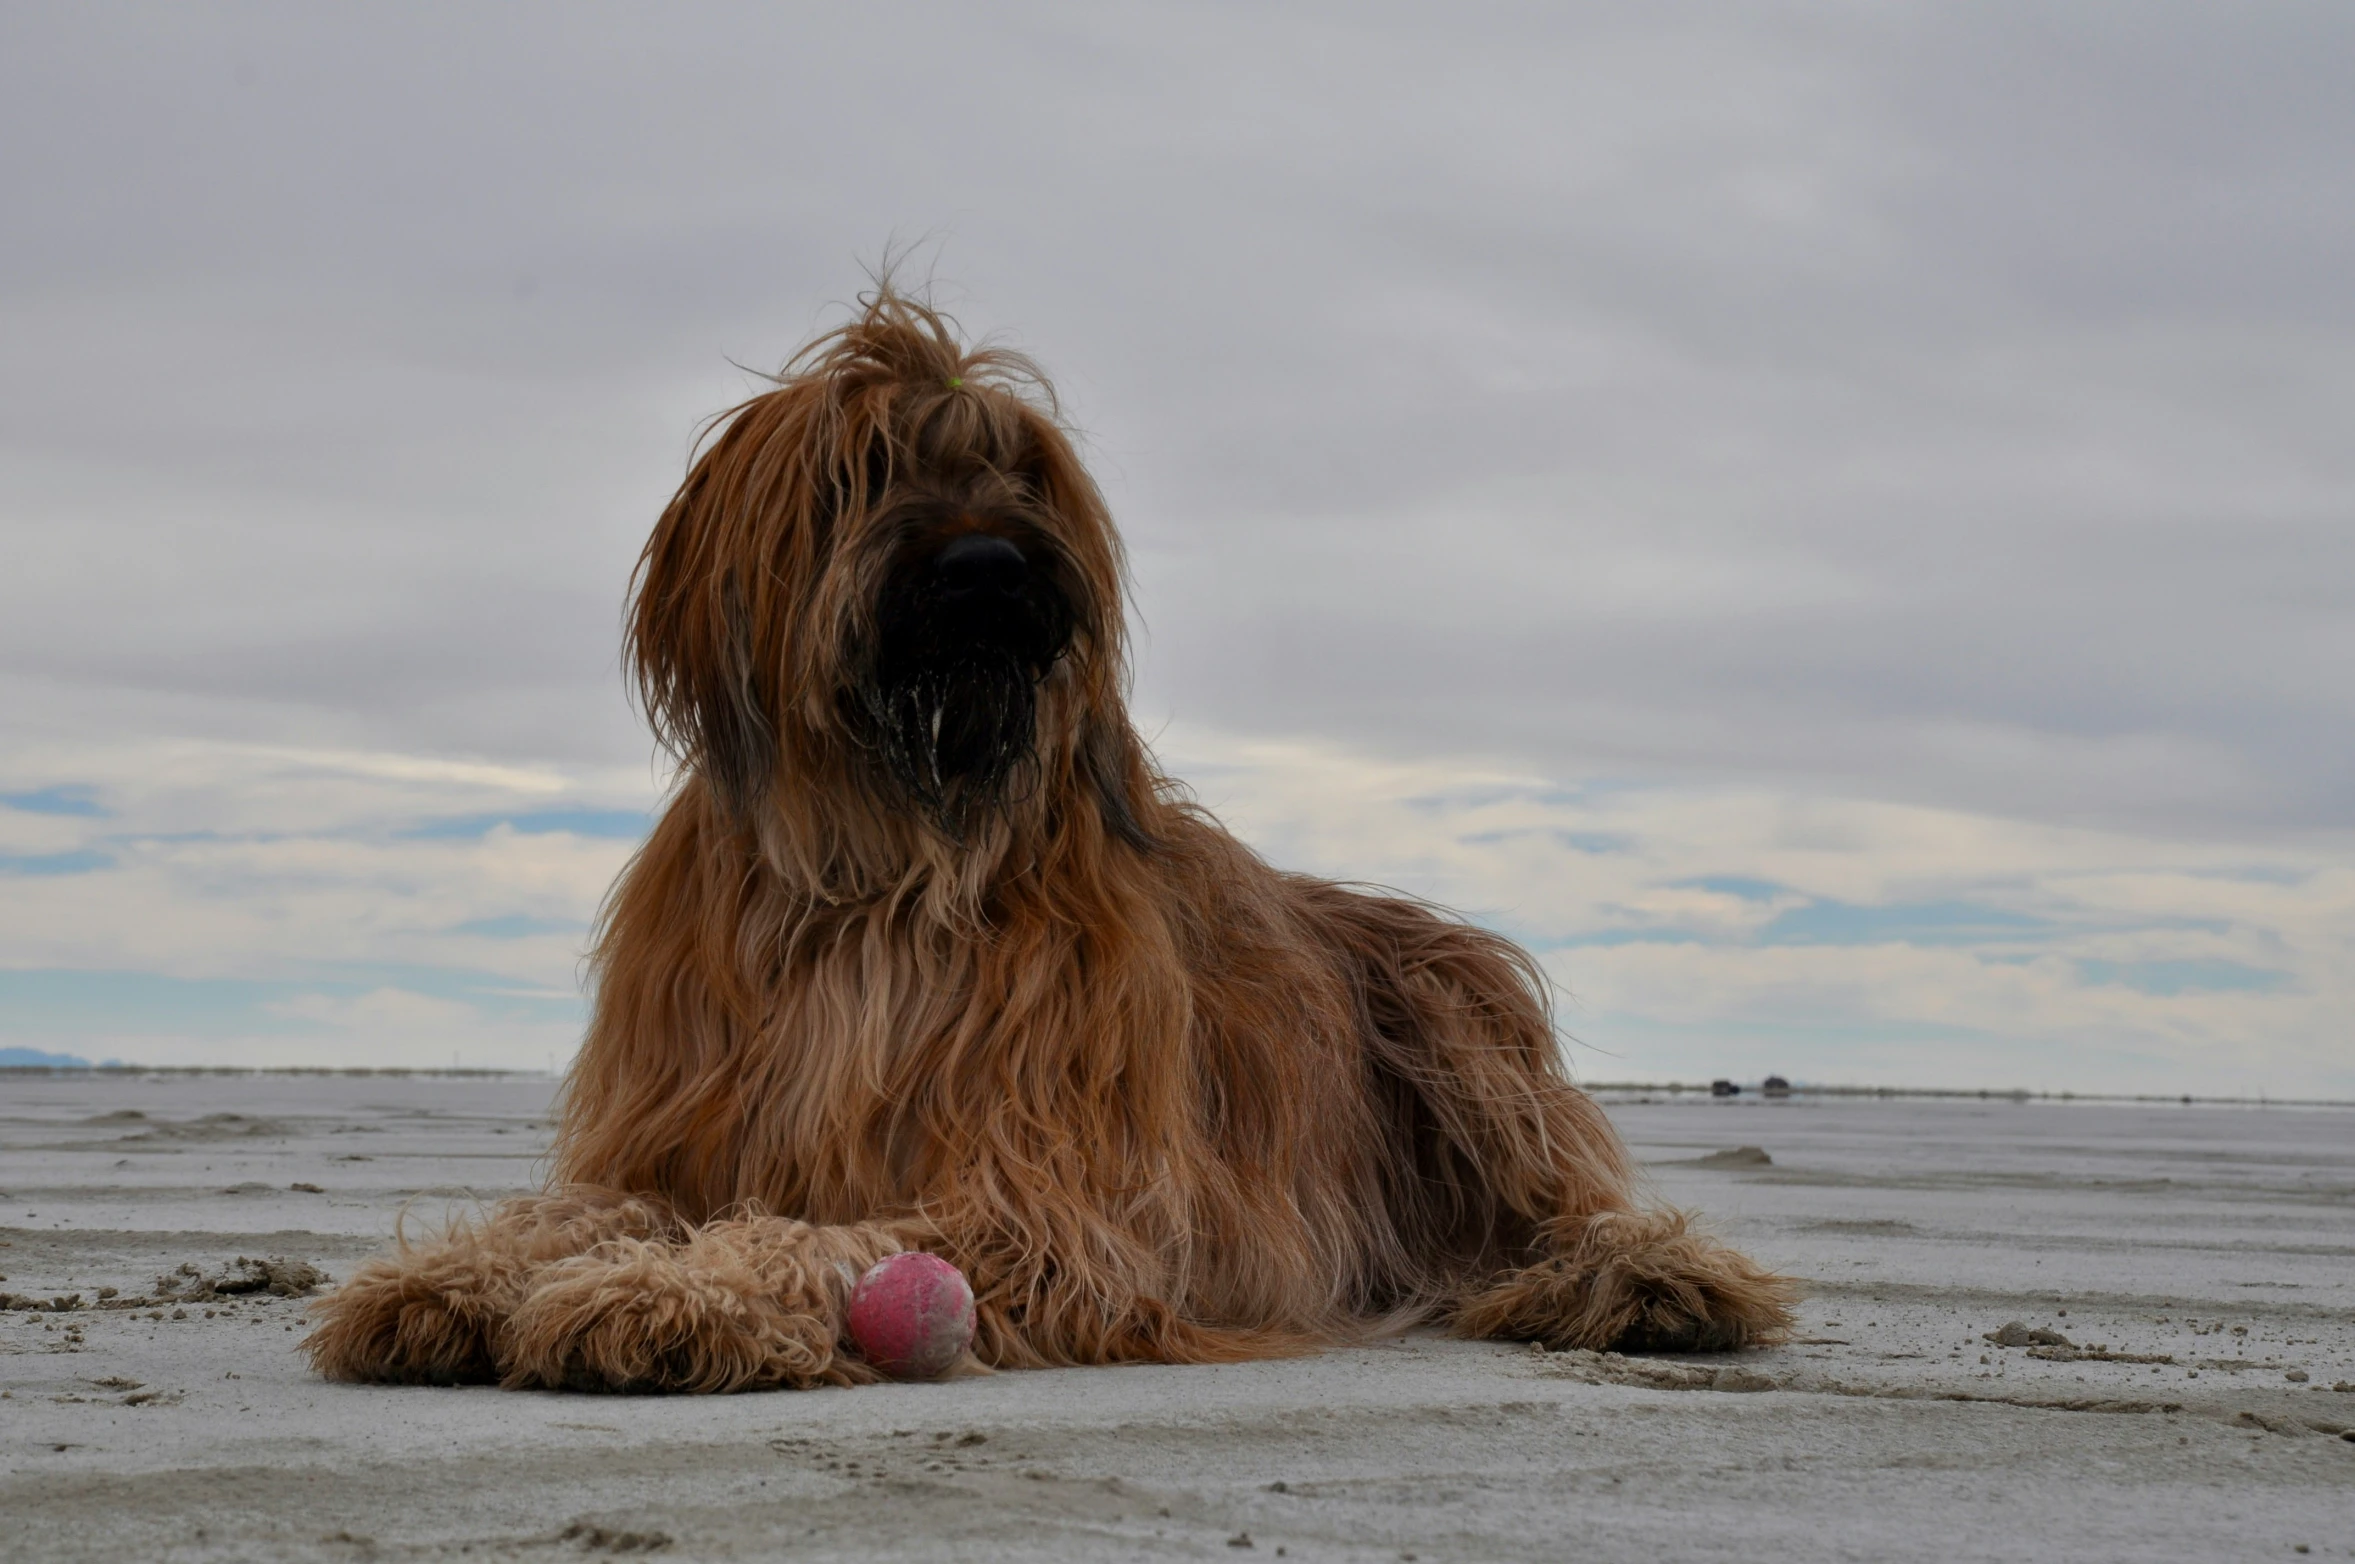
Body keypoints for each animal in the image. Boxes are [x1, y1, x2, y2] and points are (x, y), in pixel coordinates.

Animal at [303, 287, 1789, 1384]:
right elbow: (578, 1207)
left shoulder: (1044, 1200)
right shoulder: (684, 1129)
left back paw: (1651, 1283)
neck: (887, 858)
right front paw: (448, 1275)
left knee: (1566, 1209)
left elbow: (819, 1235)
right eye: (867, 469)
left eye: (1022, 472)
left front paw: (670, 1298)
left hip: (1459, 1020)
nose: (992, 570)